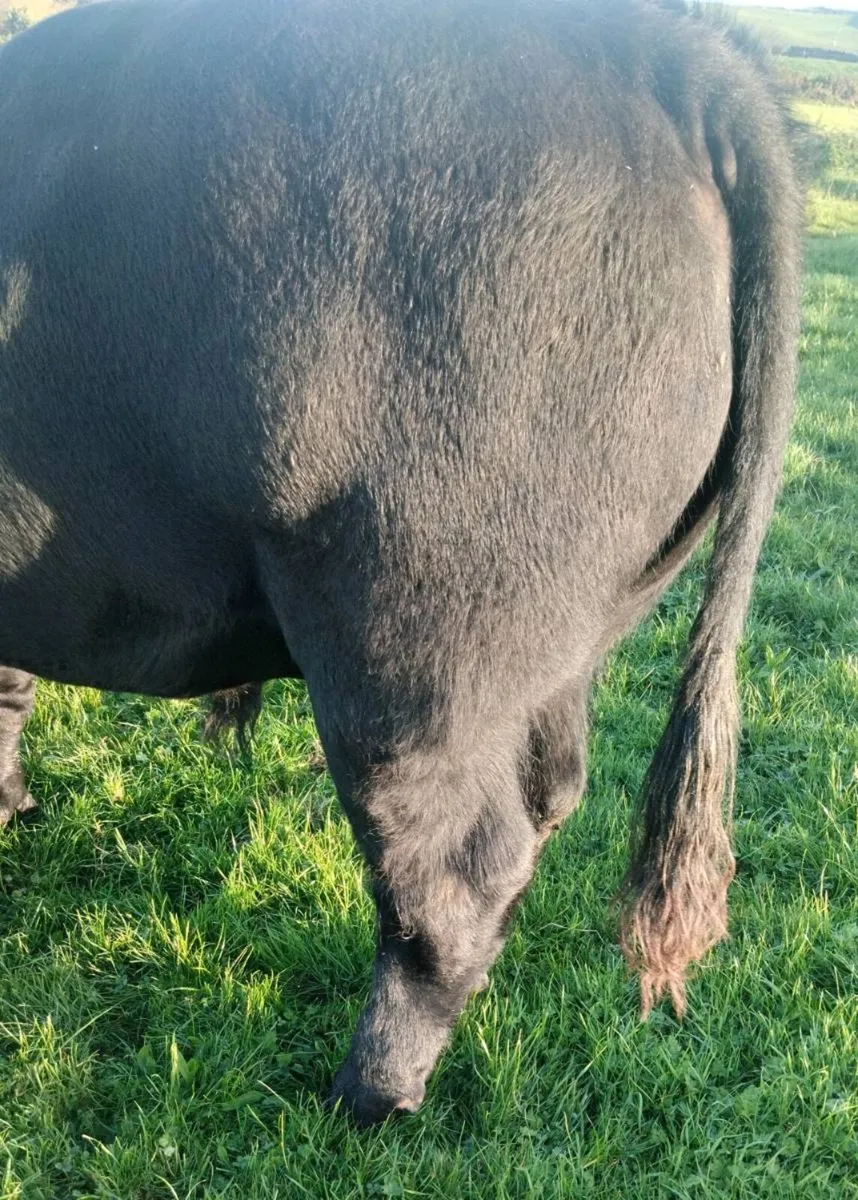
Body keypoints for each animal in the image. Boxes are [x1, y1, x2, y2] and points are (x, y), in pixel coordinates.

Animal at [0, 0, 800, 1124]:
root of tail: (664, 47)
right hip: (556, 639)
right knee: (549, 792)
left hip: (414, 634)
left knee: (452, 868)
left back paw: (365, 1095)